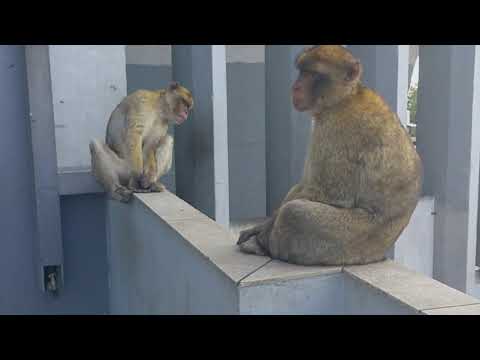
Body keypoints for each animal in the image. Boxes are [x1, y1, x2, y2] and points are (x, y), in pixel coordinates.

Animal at [238, 45, 422, 266]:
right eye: (301, 72)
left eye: (311, 74)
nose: (295, 87)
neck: (344, 98)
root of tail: (377, 254)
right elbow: (305, 184)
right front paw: (260, 226)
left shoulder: (338, 128)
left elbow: (330, 193)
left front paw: (264, 229)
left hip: (346, 242)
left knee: (294, 214)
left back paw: (264, 245)